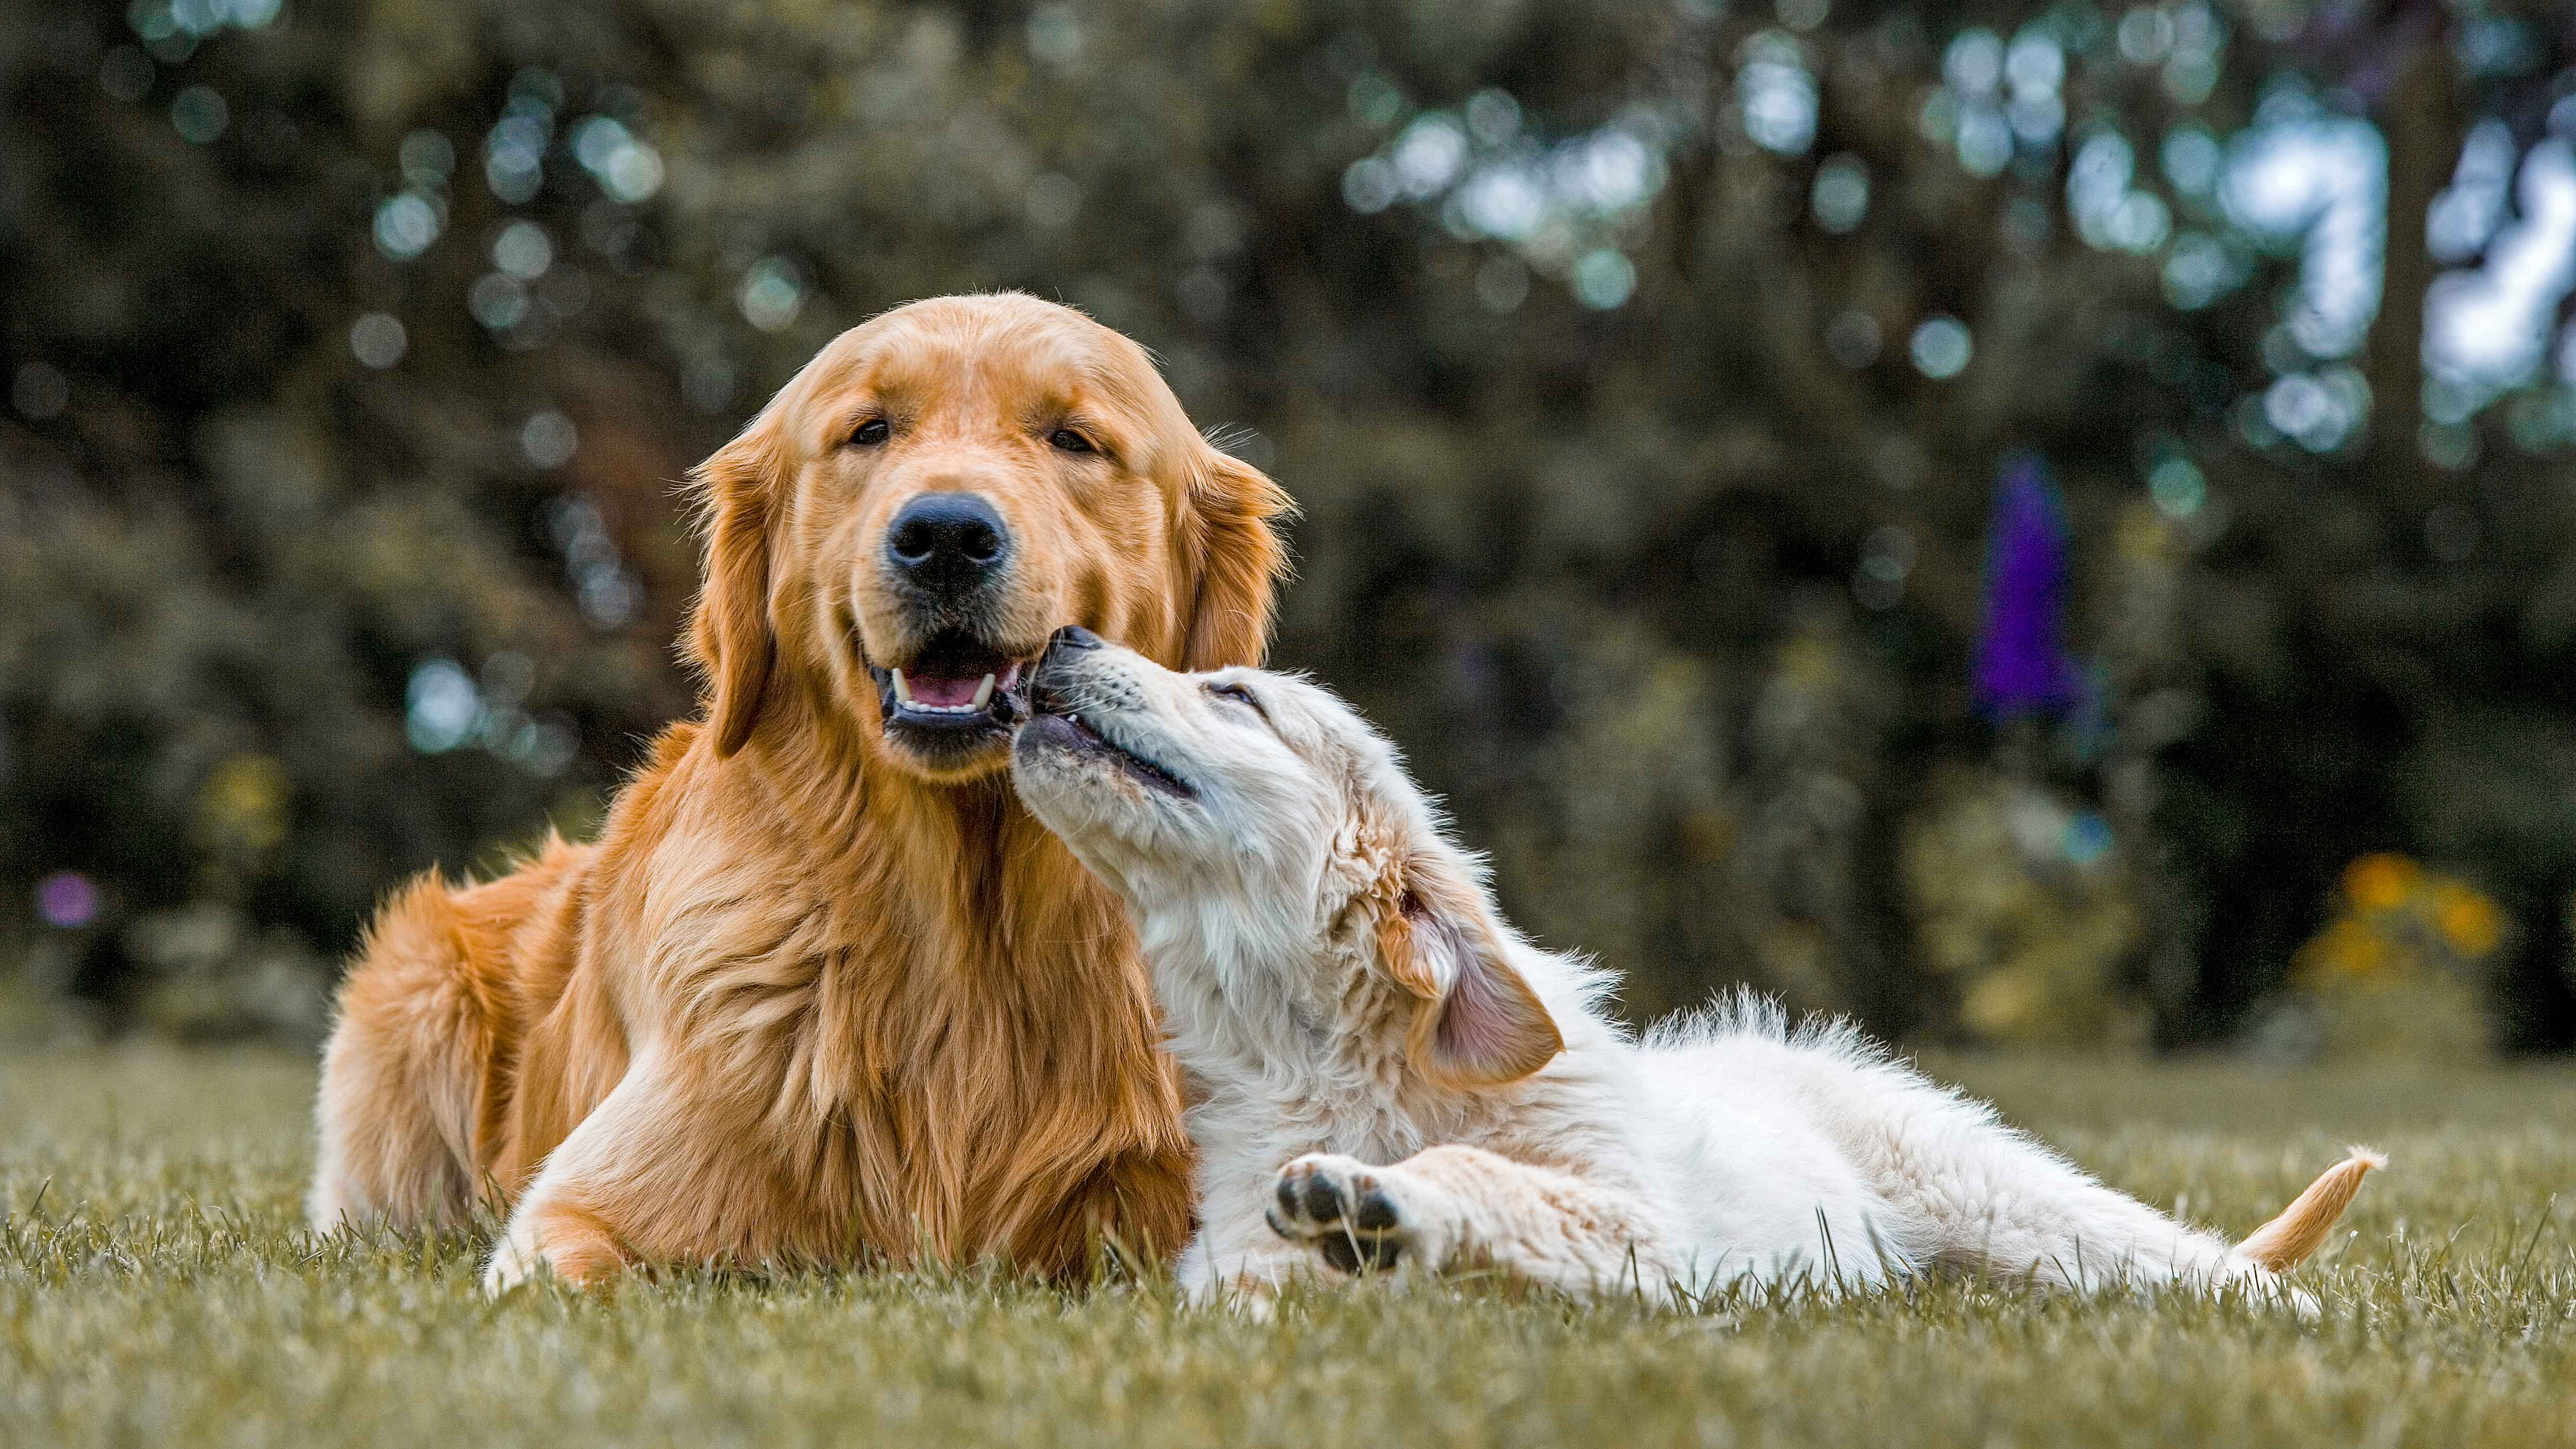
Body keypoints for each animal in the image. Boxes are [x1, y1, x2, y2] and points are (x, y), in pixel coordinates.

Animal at [1004, 626, 2370, 1305]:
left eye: (1233, 694)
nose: (1058, 631)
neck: (1322, 1058)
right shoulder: (1231, 1263)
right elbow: (1270, 1281)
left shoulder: (1651, 1237)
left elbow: (1487, 1178)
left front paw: (1377, 1201)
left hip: (1998, 1194)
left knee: (2182, 1263)